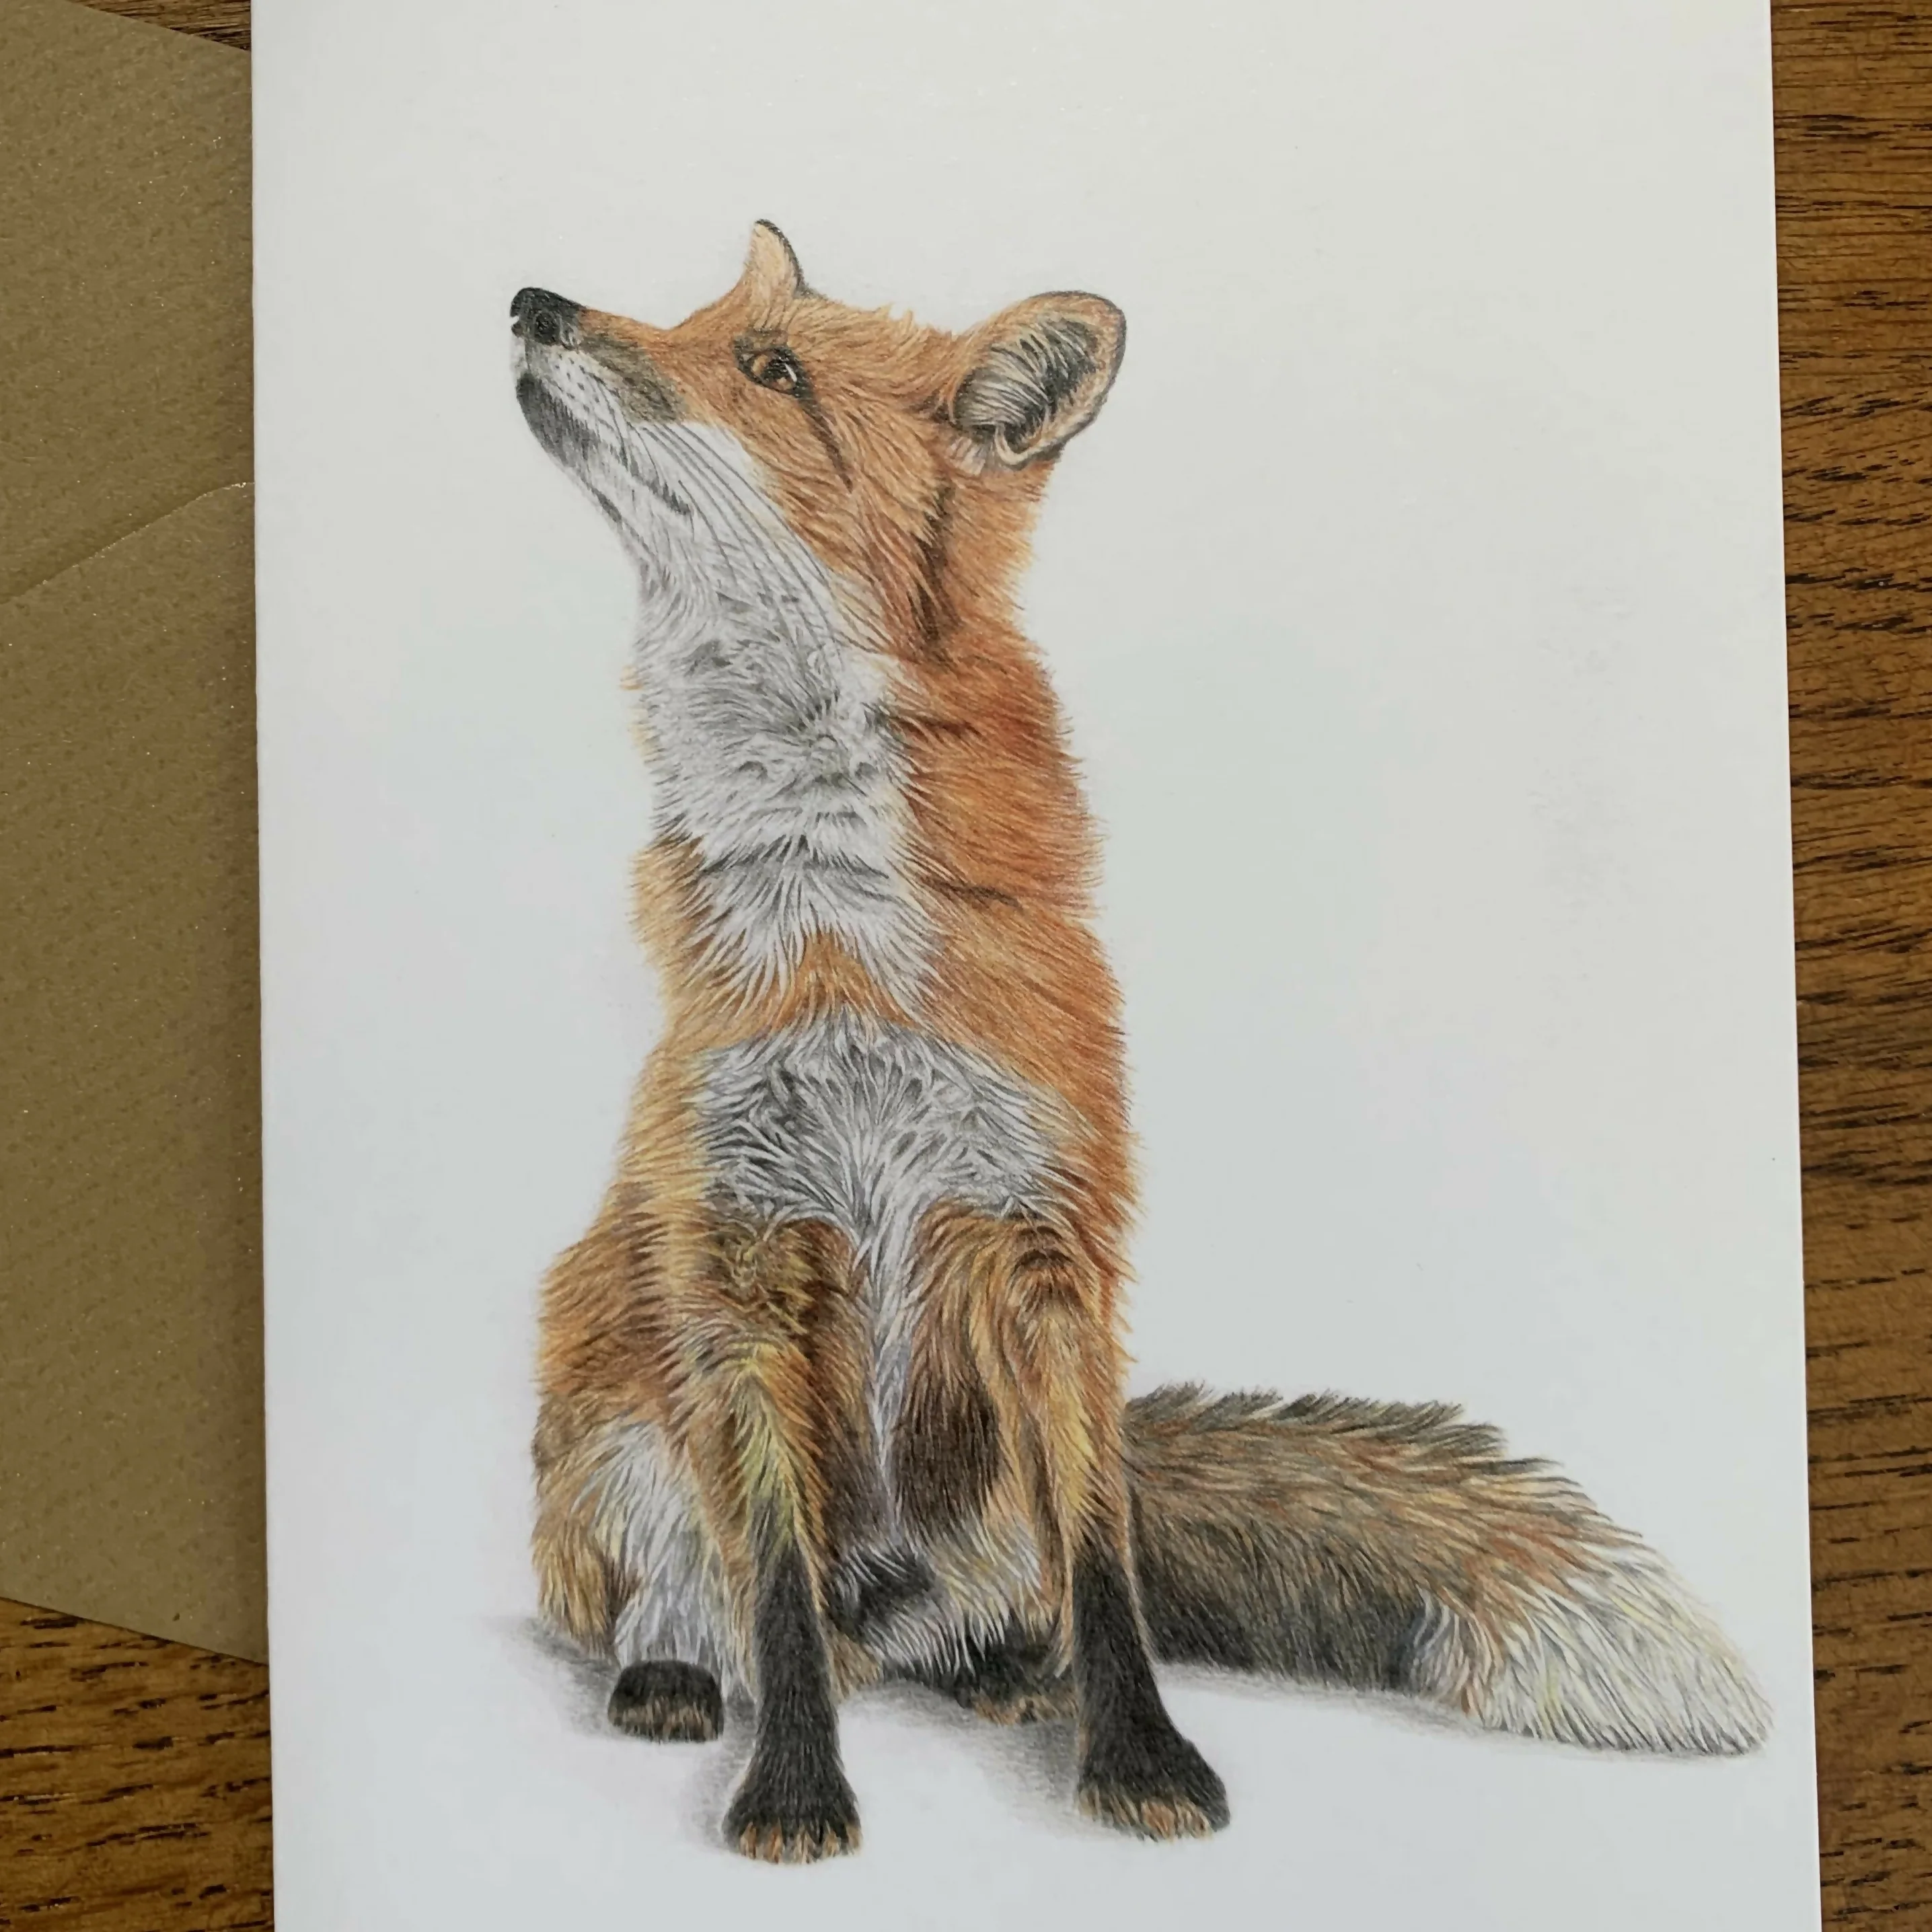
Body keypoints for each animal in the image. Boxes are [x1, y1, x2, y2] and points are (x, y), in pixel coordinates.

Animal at [510, 221, 1768, 1864]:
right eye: (695, 317)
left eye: (766, 366)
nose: (534, 306)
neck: (836, 910)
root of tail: (891, 1606)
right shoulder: (739, 1248)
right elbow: (772, 1589)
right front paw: (792, 1792)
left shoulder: (1050, 1241)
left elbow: (1105, 1568)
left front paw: (1142, 1761)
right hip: (609, 1407)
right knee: (700, 1598)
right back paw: (674, 1673)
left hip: (969, 1496)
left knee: (993, 1601)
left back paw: (999, 1673)